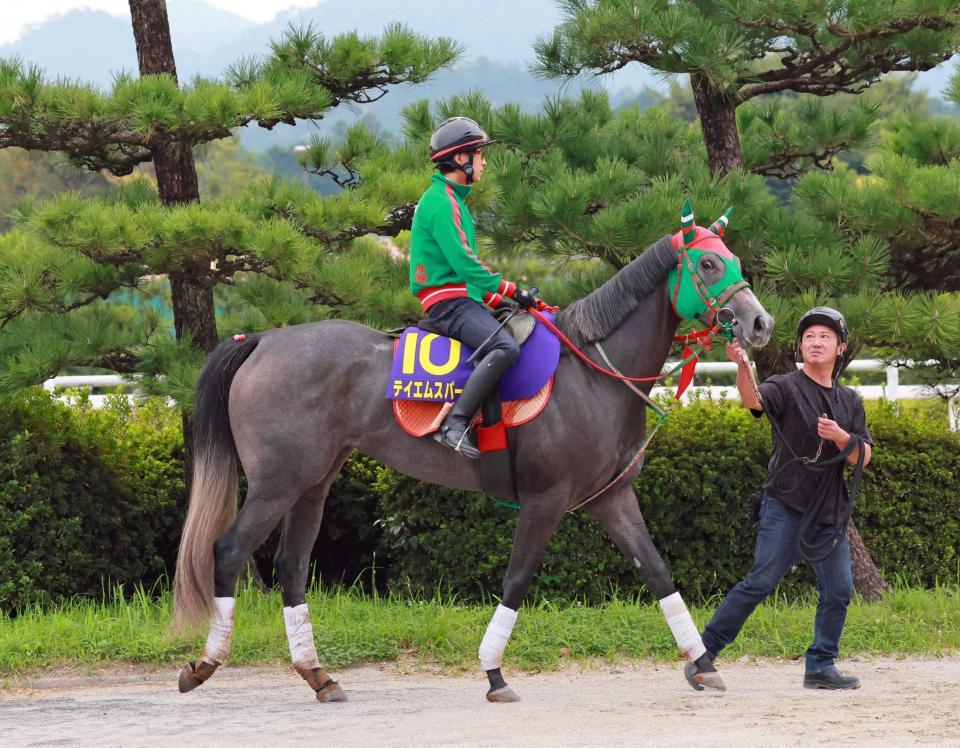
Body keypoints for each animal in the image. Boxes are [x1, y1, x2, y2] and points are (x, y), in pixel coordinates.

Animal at [172, 216, 772, 700]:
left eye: (734, 259)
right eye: (709, 262)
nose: (761, 323)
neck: (593, 371)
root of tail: (263, 340)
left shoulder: (611, 497)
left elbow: (658, 572)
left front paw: (702, 664)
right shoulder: (546, 499)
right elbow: (517, 579)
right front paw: (494, 673)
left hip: (313, 482)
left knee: (292, 567)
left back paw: (318, 675)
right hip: (277, 481)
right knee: (228, 550)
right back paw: (205, 663)